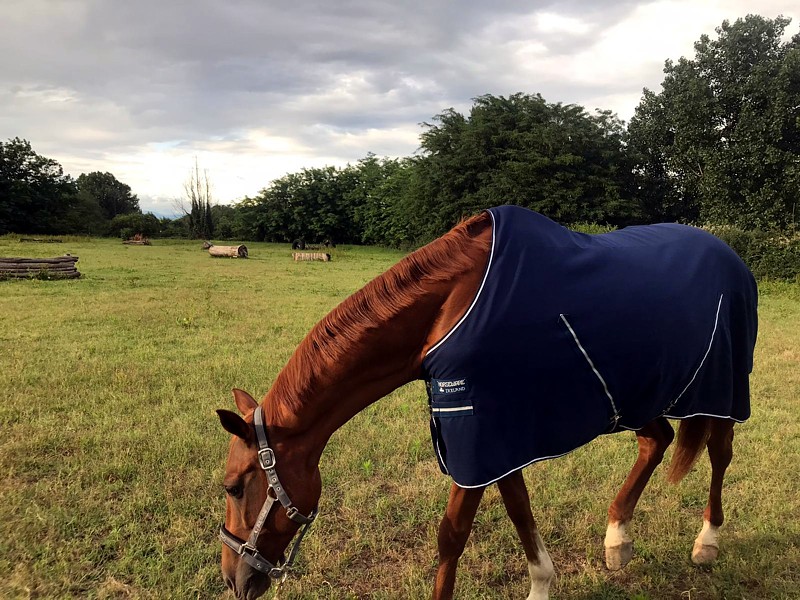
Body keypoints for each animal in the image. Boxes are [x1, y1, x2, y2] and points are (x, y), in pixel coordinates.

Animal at [217, 206, 756, 600]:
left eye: (234, 487)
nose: (233, 578)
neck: (448, 309)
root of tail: (732, 257)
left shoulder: (476, 434)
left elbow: (452, 534)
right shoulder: (495, 437)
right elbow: (519, 511)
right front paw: (542, 585)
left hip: (723, 391)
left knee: (719, 453)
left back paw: (706, 543)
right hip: (634, 396)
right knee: (657, 440)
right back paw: (617, 542)